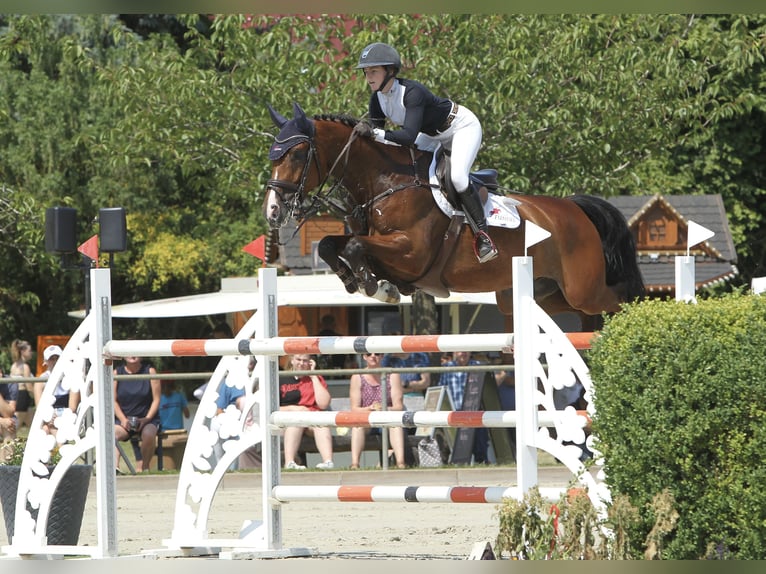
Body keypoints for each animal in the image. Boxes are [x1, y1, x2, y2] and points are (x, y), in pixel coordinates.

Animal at [264, 103, 648, 328]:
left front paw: (377, 287)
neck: (385, 181)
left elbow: (357, 247)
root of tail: (574, 209)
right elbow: (331, 244)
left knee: (620, 301)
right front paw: (357, 281)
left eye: (296, 154)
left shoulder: (411, 252)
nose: (272, 209)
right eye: (273, 153)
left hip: (585, 288)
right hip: (534, 295)